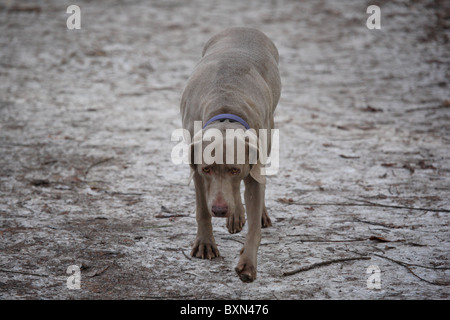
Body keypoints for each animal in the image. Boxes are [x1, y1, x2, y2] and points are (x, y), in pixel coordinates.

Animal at [180, 27, 282, 282]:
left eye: (235, 169)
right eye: (207, 169)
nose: (219, 210)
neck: (226, 107)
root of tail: (244, 28)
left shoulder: (251, 167)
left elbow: (254, 221)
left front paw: (248, 264)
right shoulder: (197, 170)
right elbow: (202, 208)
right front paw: (205, 244)